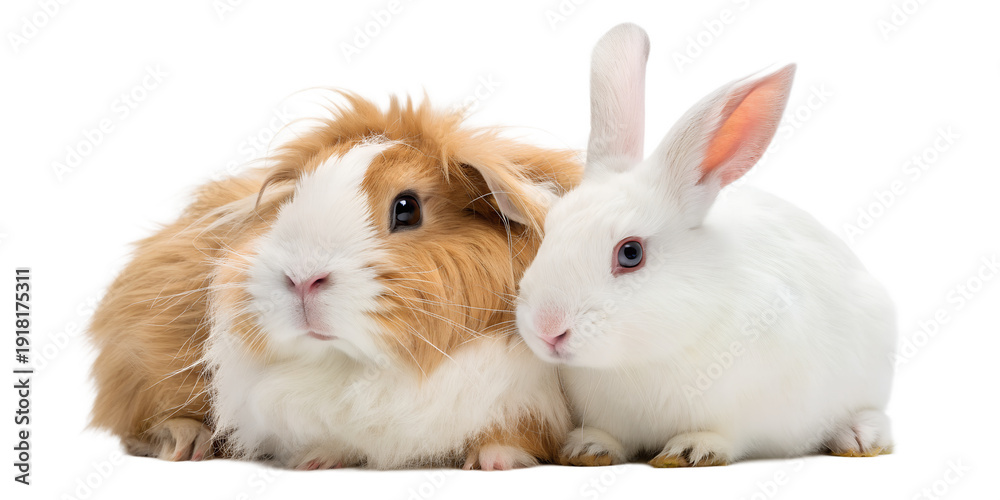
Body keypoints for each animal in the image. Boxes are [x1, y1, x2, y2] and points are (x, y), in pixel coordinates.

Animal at [88, 93, 580, 468]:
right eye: (295, 199)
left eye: (407, 208)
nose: (302, 279)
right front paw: (314, 461)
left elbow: (511, 433)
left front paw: (497, 462)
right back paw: (185, 444)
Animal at [514, 23, 896, 468]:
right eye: (550, 228)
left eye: (631, 253)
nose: (547, 329)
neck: (641, 359)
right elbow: (608, 435)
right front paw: (588, 447)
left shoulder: (751, 407)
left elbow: (725, 433)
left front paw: (691, 450)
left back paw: (859, 437)